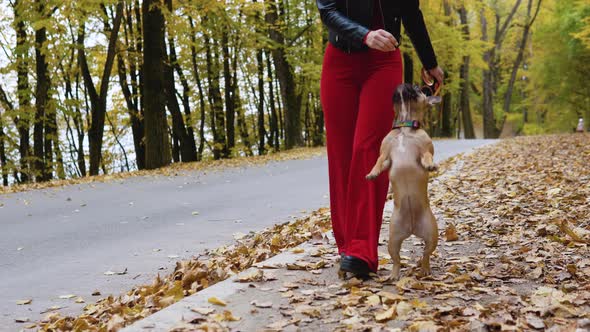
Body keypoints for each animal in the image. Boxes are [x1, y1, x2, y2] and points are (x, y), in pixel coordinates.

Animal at [368, 83, 442, 280]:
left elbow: (427, 156)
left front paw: (430, 165)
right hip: (393, 239)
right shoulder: (384, 155)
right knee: (397, 259)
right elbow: (378, 162)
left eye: (418, 89)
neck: (405, 127)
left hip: (432, 234)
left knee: (426, 254)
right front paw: (372, 174)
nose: (405, 84)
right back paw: (394, 275)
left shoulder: (425, 149)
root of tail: (412, 228)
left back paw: (425, 270)